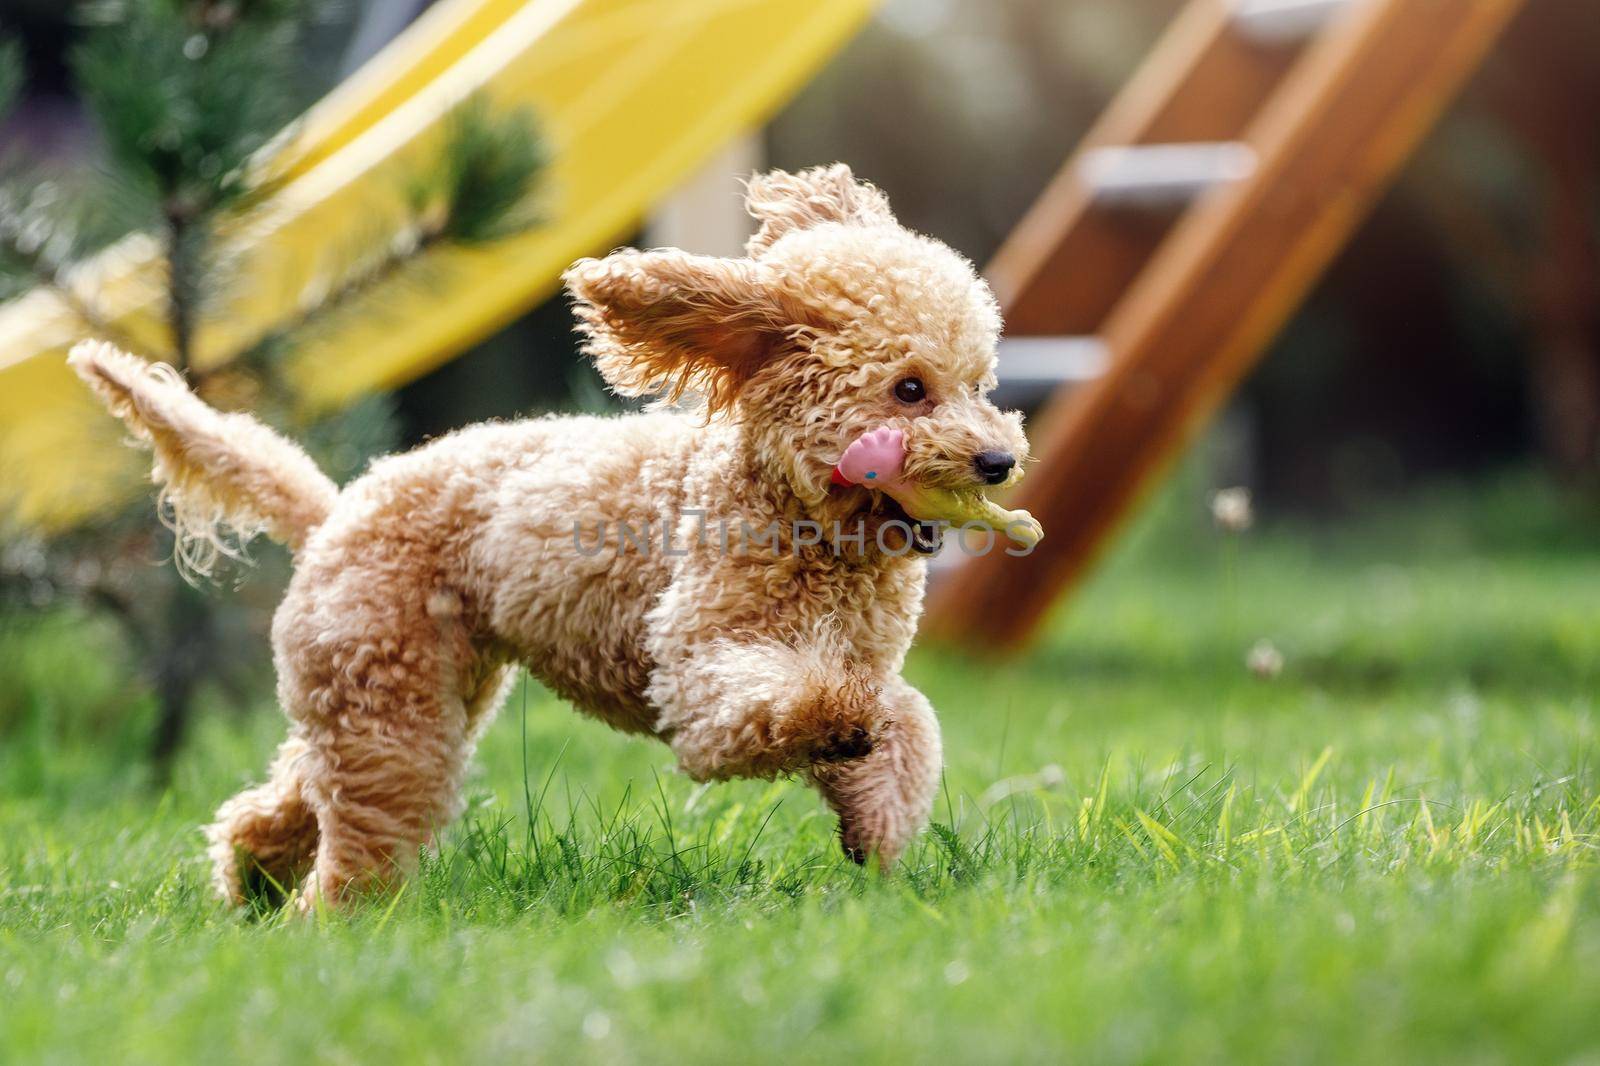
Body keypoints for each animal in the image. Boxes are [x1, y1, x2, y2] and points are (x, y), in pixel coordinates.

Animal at [68, 164, 1030, 902]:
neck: (807, 521)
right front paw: (840, 725)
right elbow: (800, 702)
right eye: (910, 389)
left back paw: (252, 878)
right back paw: (331, 921)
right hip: (389, 703)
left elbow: (907, 722)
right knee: (364, 836)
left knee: (288, 797)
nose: (998, 461)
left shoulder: (865, 655)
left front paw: (876, 824)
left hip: (396, 689)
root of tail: (339, 508)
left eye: (981, 383)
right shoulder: (702, 665)